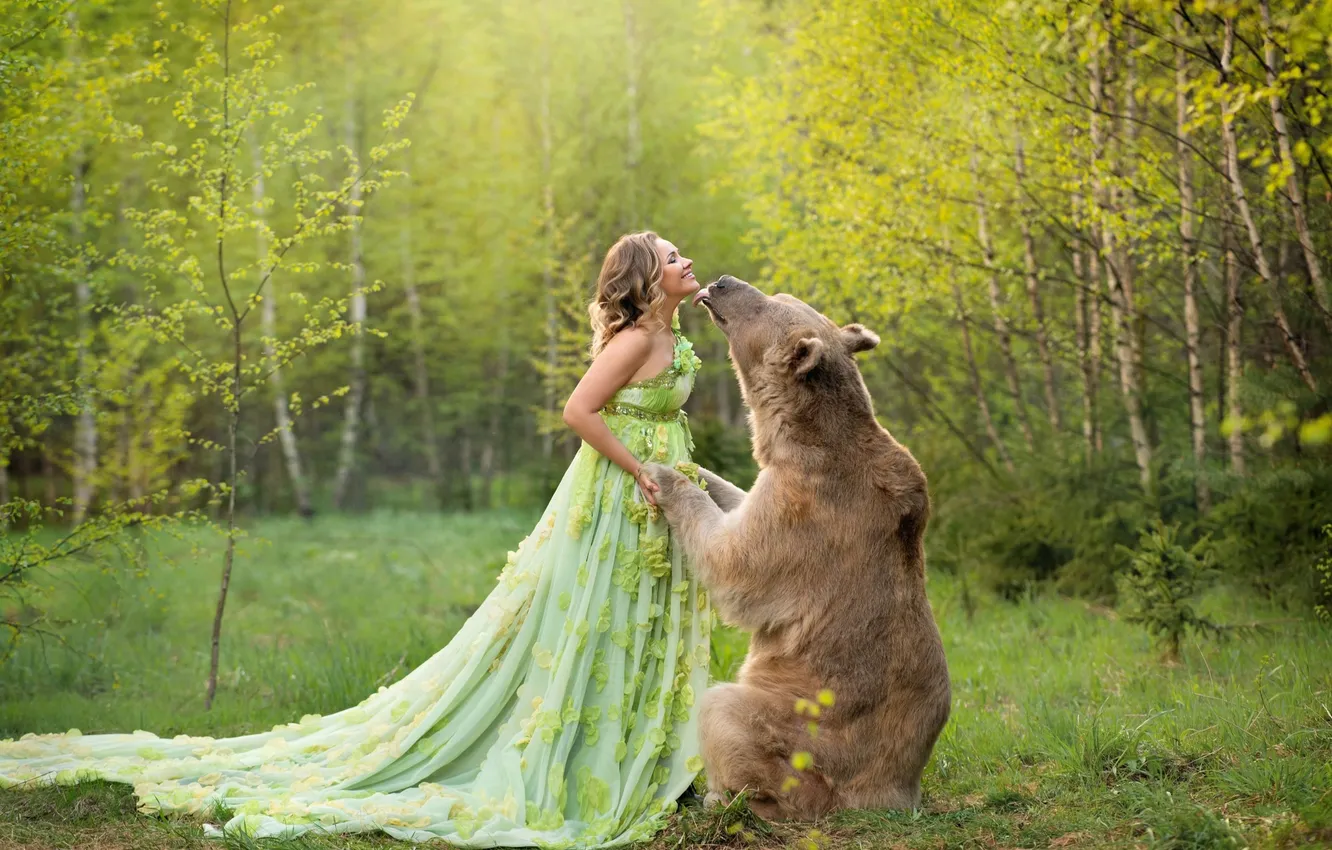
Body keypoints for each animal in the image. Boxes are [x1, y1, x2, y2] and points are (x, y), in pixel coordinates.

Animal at [645, 275, 950, 821]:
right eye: (777, 296)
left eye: (764, 305)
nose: (721, 282)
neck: (802, 434)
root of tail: (885, 794)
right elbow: (737, 502)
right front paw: (695, 468)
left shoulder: (808, 509)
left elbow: (736, 563)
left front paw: (663, 474)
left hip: (801, 734)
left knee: (723, 710)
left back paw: (724, 796)